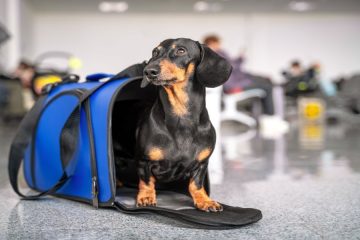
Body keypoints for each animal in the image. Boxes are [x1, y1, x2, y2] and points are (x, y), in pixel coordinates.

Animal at [136, 38, 233, 212]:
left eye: (181, 50)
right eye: (155, 52)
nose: (149, 71)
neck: (181, 117)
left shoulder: (201, 164)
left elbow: (196, 185)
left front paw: (204, 200)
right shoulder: (144, 161)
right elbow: (147, 181)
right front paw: (146, 197)